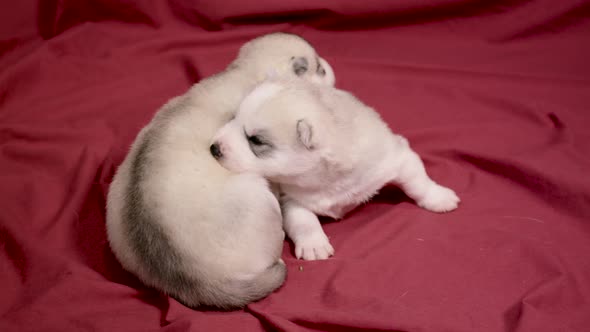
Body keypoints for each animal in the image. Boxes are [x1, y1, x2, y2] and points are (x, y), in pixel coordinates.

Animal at [210, 79, 460, 260]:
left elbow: (418, 181)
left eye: (255, 140)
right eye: (233, 118)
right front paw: (313, 244)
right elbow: (303, 219)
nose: (213, 148)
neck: (326, 178)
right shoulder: (290, 197)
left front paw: (438, 197)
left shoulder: (395, 157)